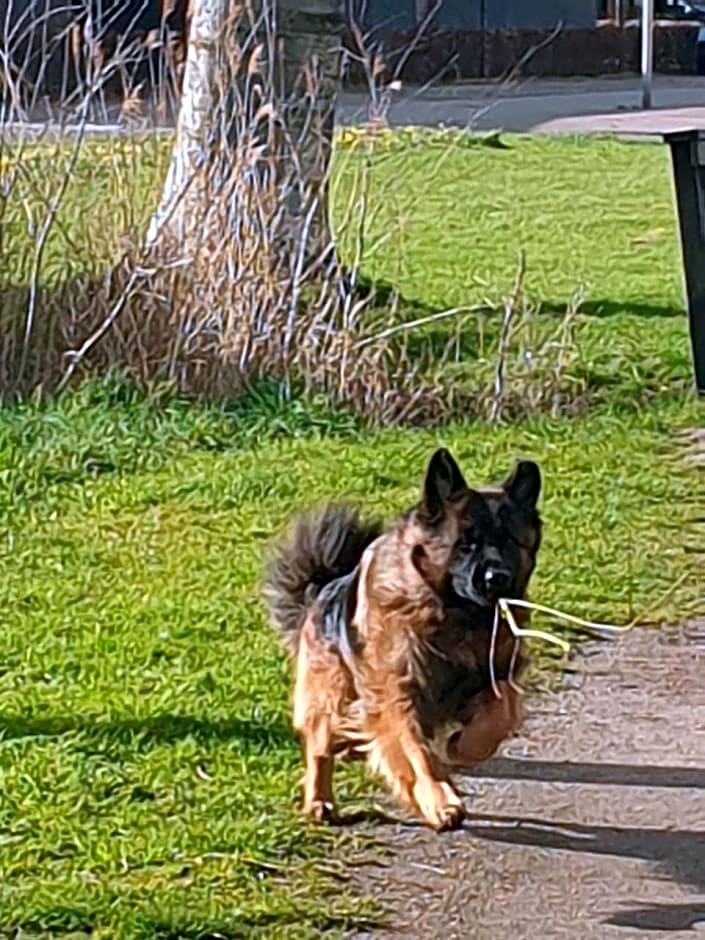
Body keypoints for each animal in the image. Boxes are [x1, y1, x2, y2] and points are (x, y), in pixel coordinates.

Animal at [262, 448, 540, 828]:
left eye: (511, 540)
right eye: (465, 544)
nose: (496, 578)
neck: (453, 614)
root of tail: (320, 590)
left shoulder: (496, 676)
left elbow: (504, 713)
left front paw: (463, 746)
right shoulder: (397, 694)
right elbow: (416, 753)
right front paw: (439, 801)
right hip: (330, 692)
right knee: (319, 743)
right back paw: (320, 800)